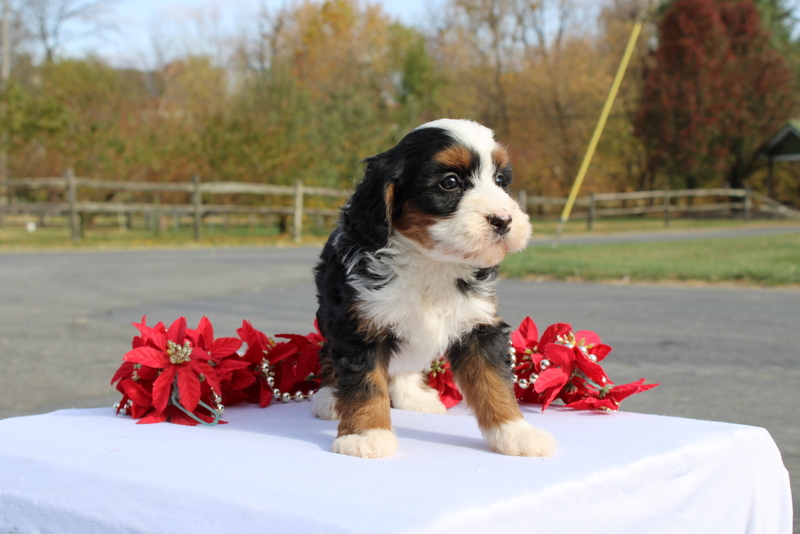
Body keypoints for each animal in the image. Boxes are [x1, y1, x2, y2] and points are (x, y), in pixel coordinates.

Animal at [310, 118, 556, 460]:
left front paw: (516, 432)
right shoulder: (359, 327)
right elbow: (365, 385)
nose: (504, 220)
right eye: (449, 182)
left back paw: (414, 396)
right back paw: (329, 398)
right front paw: (366, 434)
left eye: (499, 181)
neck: (432, 263)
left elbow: (493, 382)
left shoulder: (478, 325)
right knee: (329, 356)